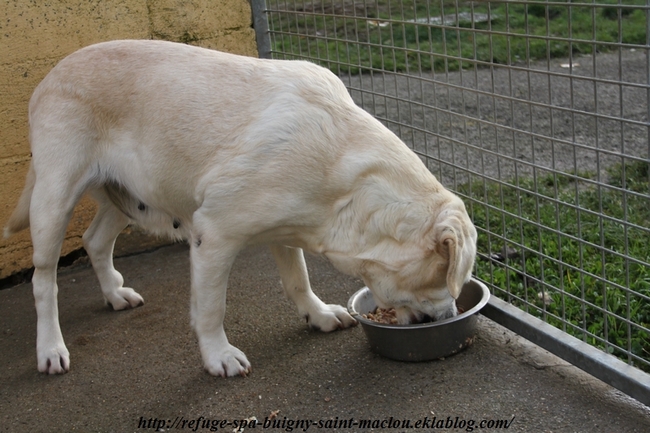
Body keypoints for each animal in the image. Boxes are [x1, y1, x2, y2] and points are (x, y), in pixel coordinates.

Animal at [3, 41, 476, 378]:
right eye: (442, 280)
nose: (450, 316)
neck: (343, 176)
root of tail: (49, 75)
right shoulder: (214, 235)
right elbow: (211, 308)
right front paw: (218, 356)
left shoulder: (286, 229)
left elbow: (298, 280)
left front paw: (318, 315)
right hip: (54, 200)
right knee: (44, 281)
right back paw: (51, 349)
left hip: (129, 198)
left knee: (94, 241)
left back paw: (115, 294)